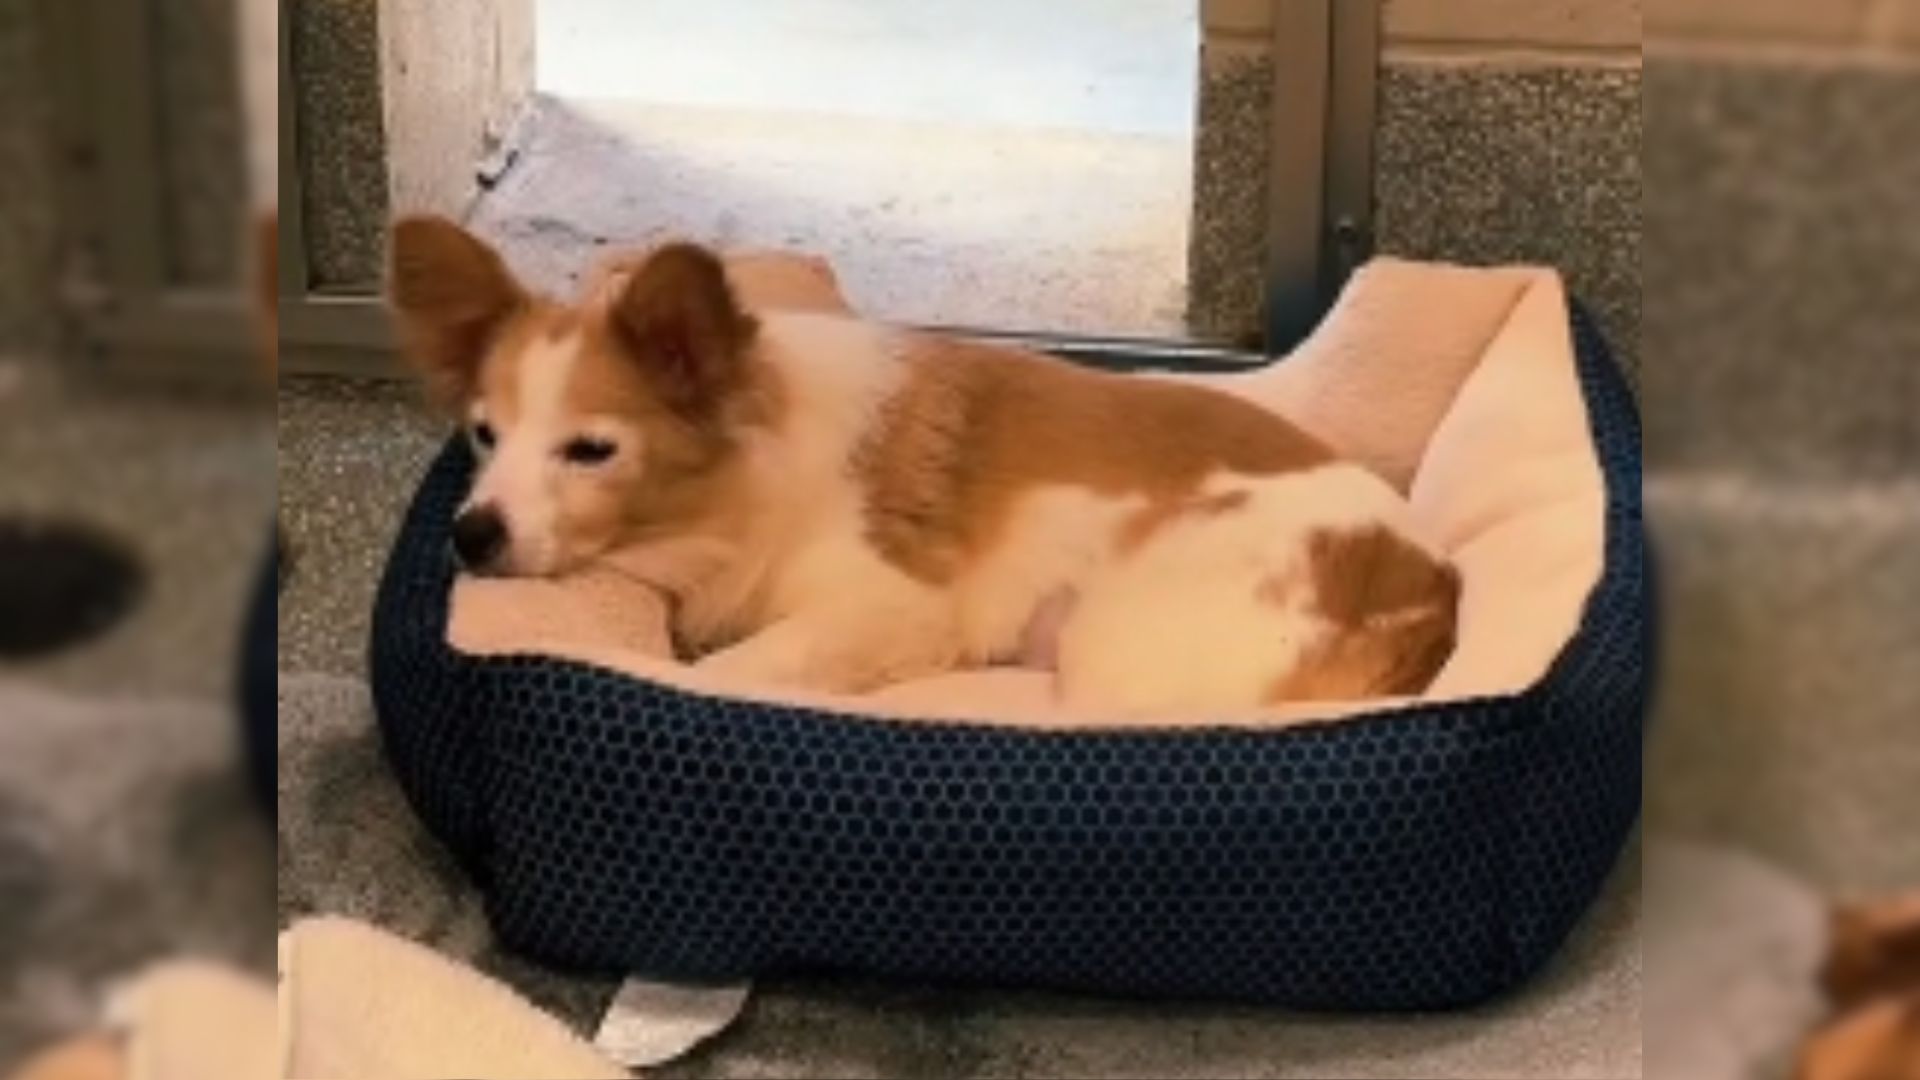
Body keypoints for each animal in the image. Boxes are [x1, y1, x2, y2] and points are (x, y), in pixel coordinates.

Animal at [389, 214, 1451, 711]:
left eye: (592, 450)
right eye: (484, 436)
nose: (469, 534)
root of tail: (1427, 583)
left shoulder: (892, 608)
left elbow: (738, 669)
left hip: (1118, 654)